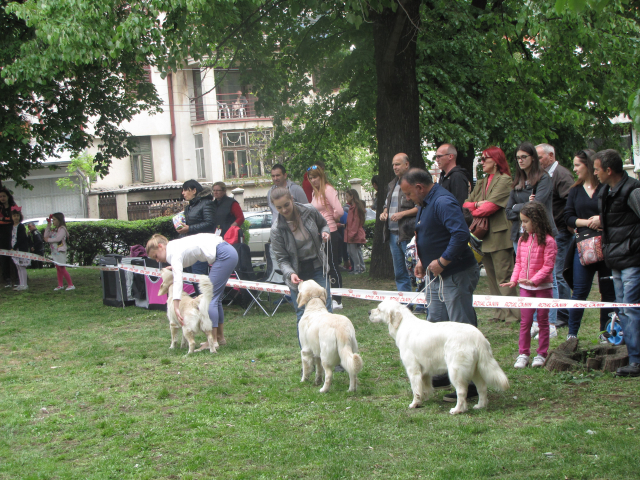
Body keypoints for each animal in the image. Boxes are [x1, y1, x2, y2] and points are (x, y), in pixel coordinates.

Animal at [368, 300, 508, 412]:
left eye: (379, 309)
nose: (369, 312)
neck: (403, 323)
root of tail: (478, 337)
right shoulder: (424, 371)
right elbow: (424, 387)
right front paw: (424, 399)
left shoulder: (413, 369)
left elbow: (416, 389)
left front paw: (415, 404)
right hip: (477, 370)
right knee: (482, 388)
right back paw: (480, 406)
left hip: (455, 371)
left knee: (462, 392)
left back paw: (457, 410)